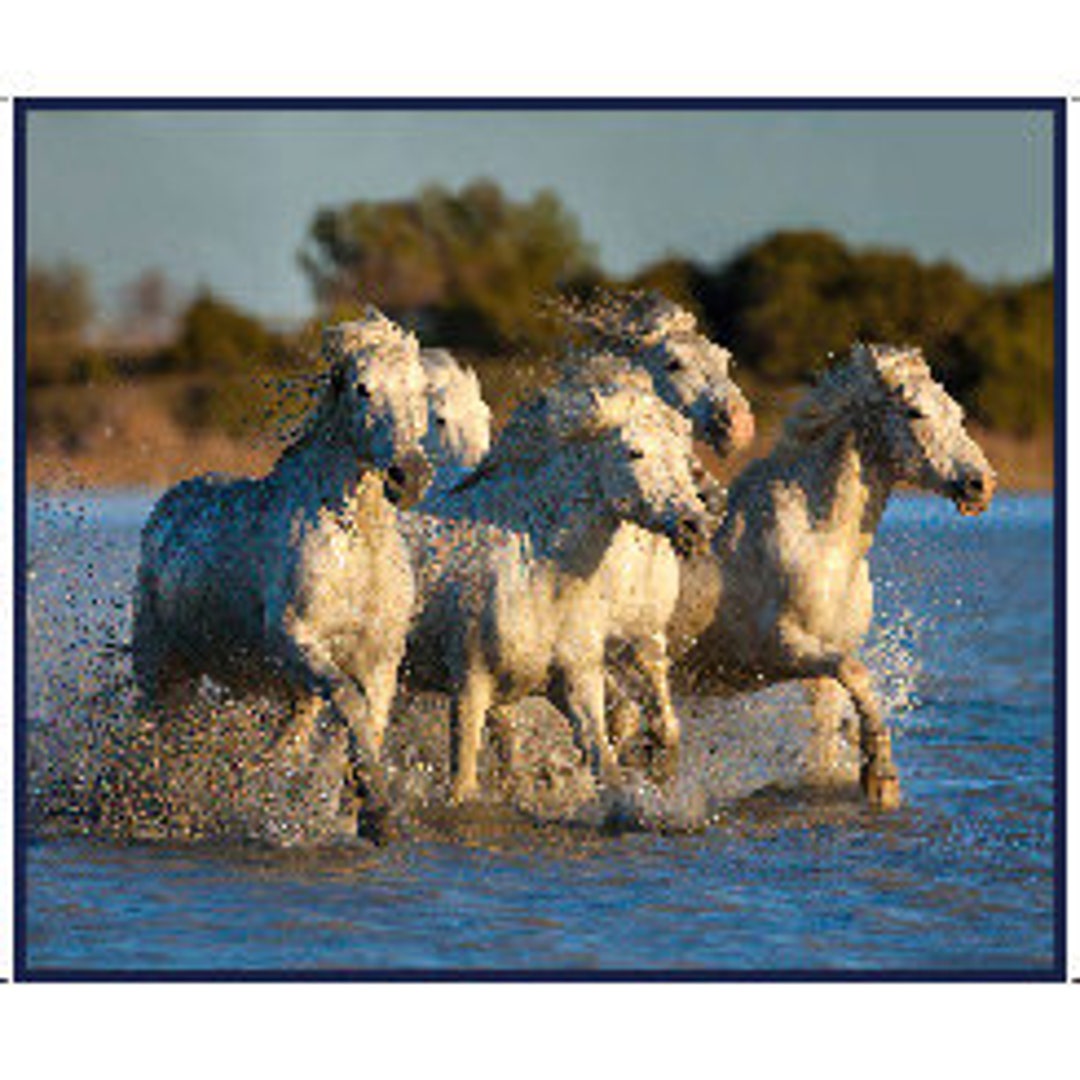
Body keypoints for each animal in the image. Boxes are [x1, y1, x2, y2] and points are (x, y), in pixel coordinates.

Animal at [130, 309, 434, 840]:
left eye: (420, 389)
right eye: (362, 388)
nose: (409, 476)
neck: (357, 548)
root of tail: (164, 509)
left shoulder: (379, 659)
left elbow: (363, 727)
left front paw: (361, 812)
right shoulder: (297, 640)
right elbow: (348, 703)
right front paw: (374, 813)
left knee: (284, 740)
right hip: (161, 665)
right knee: (151, 738)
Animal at [399, 365, 712, 804]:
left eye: (684, 457)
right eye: (634, 452)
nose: (693, 525)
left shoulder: (582, 676)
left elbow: (610, 762)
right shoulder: (469, 686)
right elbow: (462, 786)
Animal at [667, 343, 996, 808]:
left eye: (957, 411)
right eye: (914, 412)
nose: (979, 484)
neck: (823, 546)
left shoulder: (822, 665)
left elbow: (829, 727)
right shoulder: (779, 649)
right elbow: (857, 675)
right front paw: (881, 779)